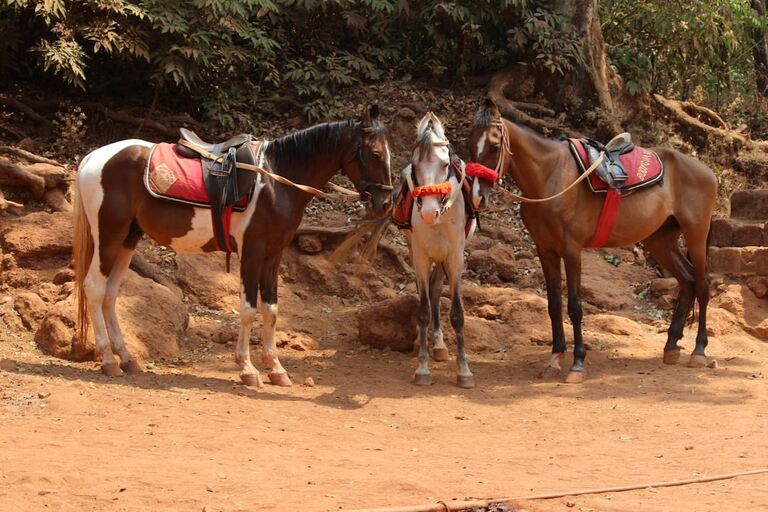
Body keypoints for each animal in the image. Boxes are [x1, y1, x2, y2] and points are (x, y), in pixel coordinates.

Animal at [73, 106, 390, 386]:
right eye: (375, 154)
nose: (385, 202)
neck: (276, 182)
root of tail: (91, 159)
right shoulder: (252, 252)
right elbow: (248, 310)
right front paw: (248, 369)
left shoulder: (274, 255)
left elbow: (271, 309)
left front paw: (276, 369)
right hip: (108, 236)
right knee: (95, 288)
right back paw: (108, 361)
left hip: (128, 239)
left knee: (111, 294)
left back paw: (126, 358)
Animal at [402, 113, 474, 388]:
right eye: (415, 165)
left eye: (445, 164)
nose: (428, 212)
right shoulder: (421, 258)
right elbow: (422, 311)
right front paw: (422, 368)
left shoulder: (455, 259)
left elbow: (457, 314)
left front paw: (464, 370)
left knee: (434, 290)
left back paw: (441, 345)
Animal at [468, 100, 720, 382]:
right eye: (469, 144)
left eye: (494, 146)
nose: (477, 197)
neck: (550, 178)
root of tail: (708, 172)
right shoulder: (545, 250)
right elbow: (554, 304)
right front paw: (555, 358)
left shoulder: (572, 250)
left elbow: (575, 307)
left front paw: (577, 363)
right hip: (660, 240)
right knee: (687, 281)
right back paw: (671, 346)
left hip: (696, 233)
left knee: (703, 285)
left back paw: (699, 350)